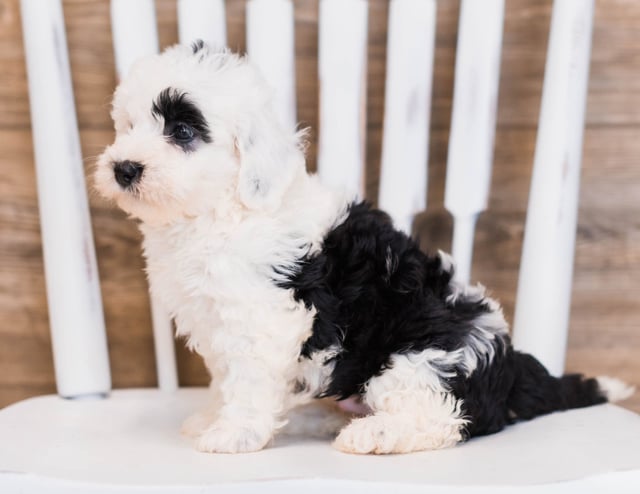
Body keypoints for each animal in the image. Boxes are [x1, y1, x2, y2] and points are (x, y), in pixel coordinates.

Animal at [95, 43, 632, 456]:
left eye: (183, 132)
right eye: (126, 126)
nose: (124, 168)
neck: (219, 211)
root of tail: (510, 363)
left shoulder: (264, 317)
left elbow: (247, 383)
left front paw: (232, 434)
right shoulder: (216, 320)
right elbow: (224, 378)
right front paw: (212, 418)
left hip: (422, 357)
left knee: (441, 418)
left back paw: (373, 433)